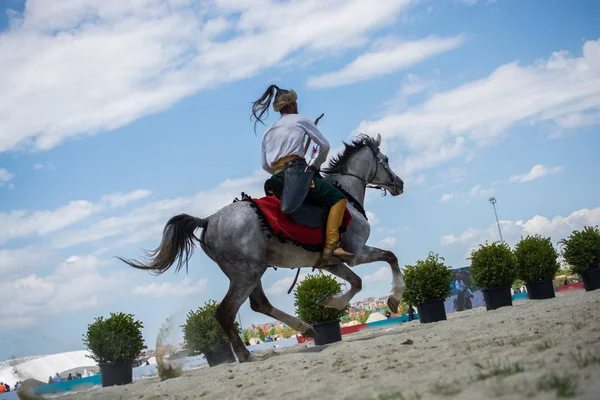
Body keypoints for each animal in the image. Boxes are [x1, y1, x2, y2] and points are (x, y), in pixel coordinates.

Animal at [119, 134, 406, 362]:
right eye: (386, 159)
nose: (399, 184)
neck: (345, 194)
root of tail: (208, 220)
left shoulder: (330, 261)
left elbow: (357, 282)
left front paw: (329, 302)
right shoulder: (357, 251)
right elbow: (390, 257)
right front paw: (394, 298)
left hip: (252, 270)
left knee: (259, 304)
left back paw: (305, 328)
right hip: (246, 274)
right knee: (225, 312)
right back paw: (245, 355)